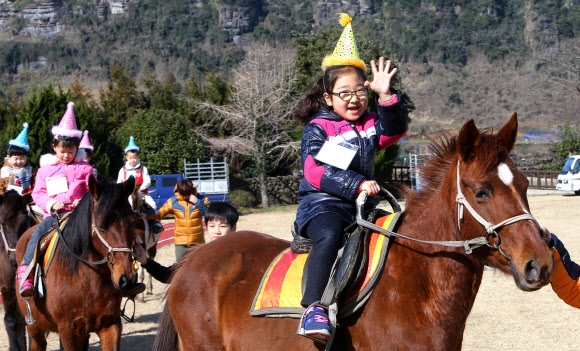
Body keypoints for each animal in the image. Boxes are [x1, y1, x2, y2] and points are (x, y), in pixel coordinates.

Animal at [15, 177, 140, 350]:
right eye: (101, 226)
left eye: (133, 222)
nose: (127, 278)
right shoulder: (69, 331)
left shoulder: (110, 324)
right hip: (34, 327)